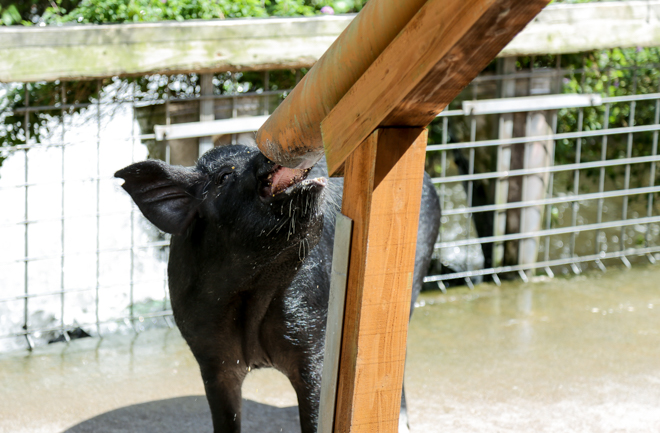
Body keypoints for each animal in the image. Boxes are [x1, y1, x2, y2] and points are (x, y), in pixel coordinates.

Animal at [116, 145, 440, 432]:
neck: (253, 292)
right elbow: (226, 419)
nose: (268, 152)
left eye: (250, 150)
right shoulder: (210, 357)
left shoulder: (314, 340)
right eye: (223, 176)